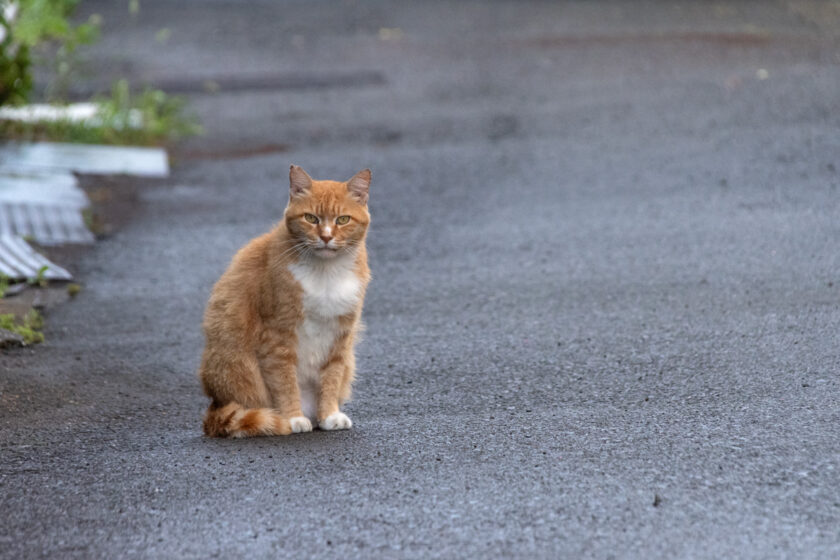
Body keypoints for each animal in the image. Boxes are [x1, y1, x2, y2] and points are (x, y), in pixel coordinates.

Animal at [200, 165, 370, 438]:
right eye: (311, 218)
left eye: (343, 220)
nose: (326, 237)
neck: (326, 272)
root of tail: (214, 405)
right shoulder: (277, 336)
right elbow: (285, 381)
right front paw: (292, 418)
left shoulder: (341, 336)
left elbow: (331, 378)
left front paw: (329, 415)